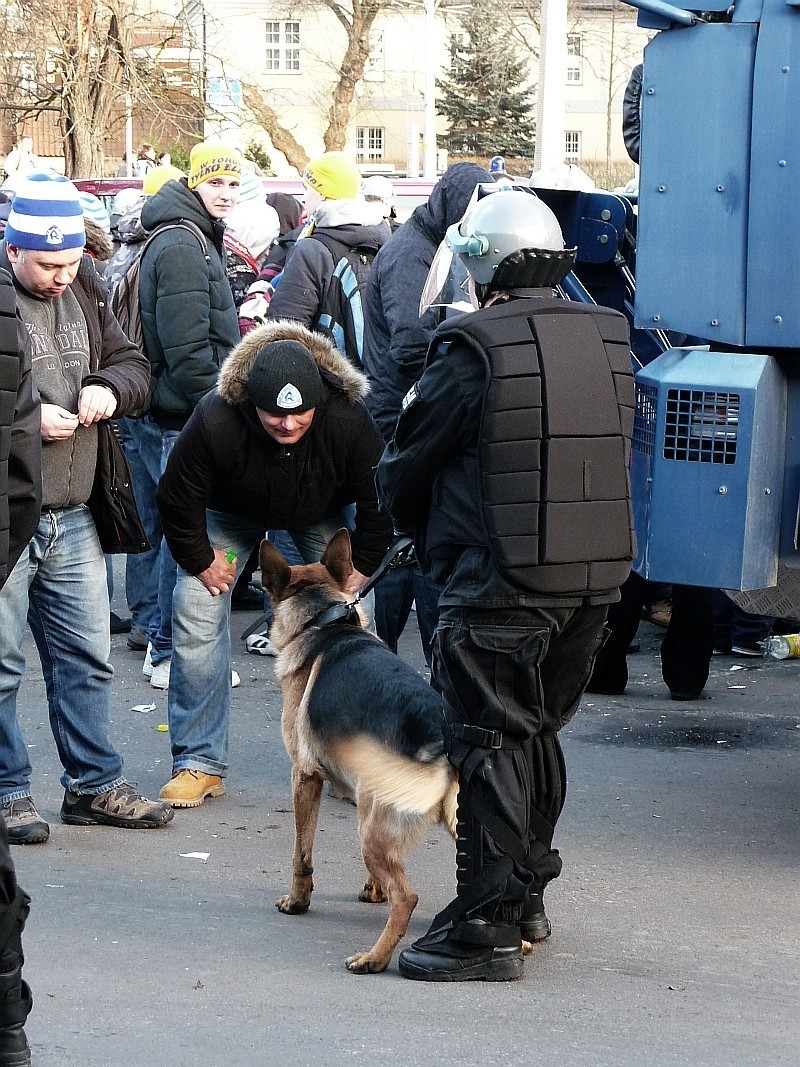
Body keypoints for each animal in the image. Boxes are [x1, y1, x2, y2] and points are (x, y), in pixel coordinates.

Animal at [258, 529, 456, 973]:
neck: (324, 622)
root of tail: (437, 736)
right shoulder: (357, 794)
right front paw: (373, 889)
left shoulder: (304, 777)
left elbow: (301, 854)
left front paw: (297, 901)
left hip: (374, 828)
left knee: (407, 897)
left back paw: (375, 958)